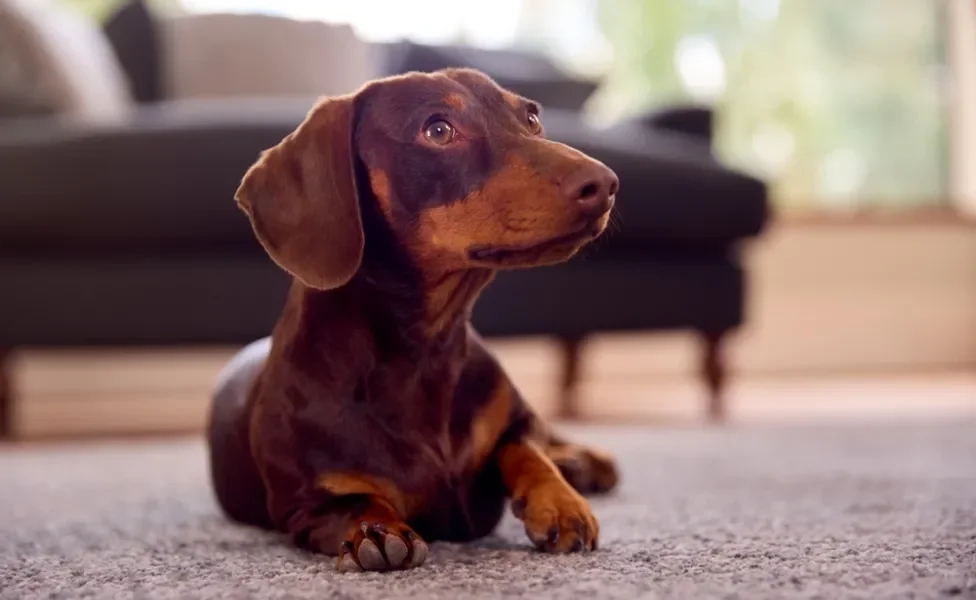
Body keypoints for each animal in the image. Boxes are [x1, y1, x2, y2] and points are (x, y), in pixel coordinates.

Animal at [208, 67, 616, 572]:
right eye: (438, 130)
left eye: (532, 118)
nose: (606, 184)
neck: (424, 352)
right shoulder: (305, 504)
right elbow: (356, 503)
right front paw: (375, 531)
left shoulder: (517, 420)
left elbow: (527, 449)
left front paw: (561, 503)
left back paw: (584, 461)